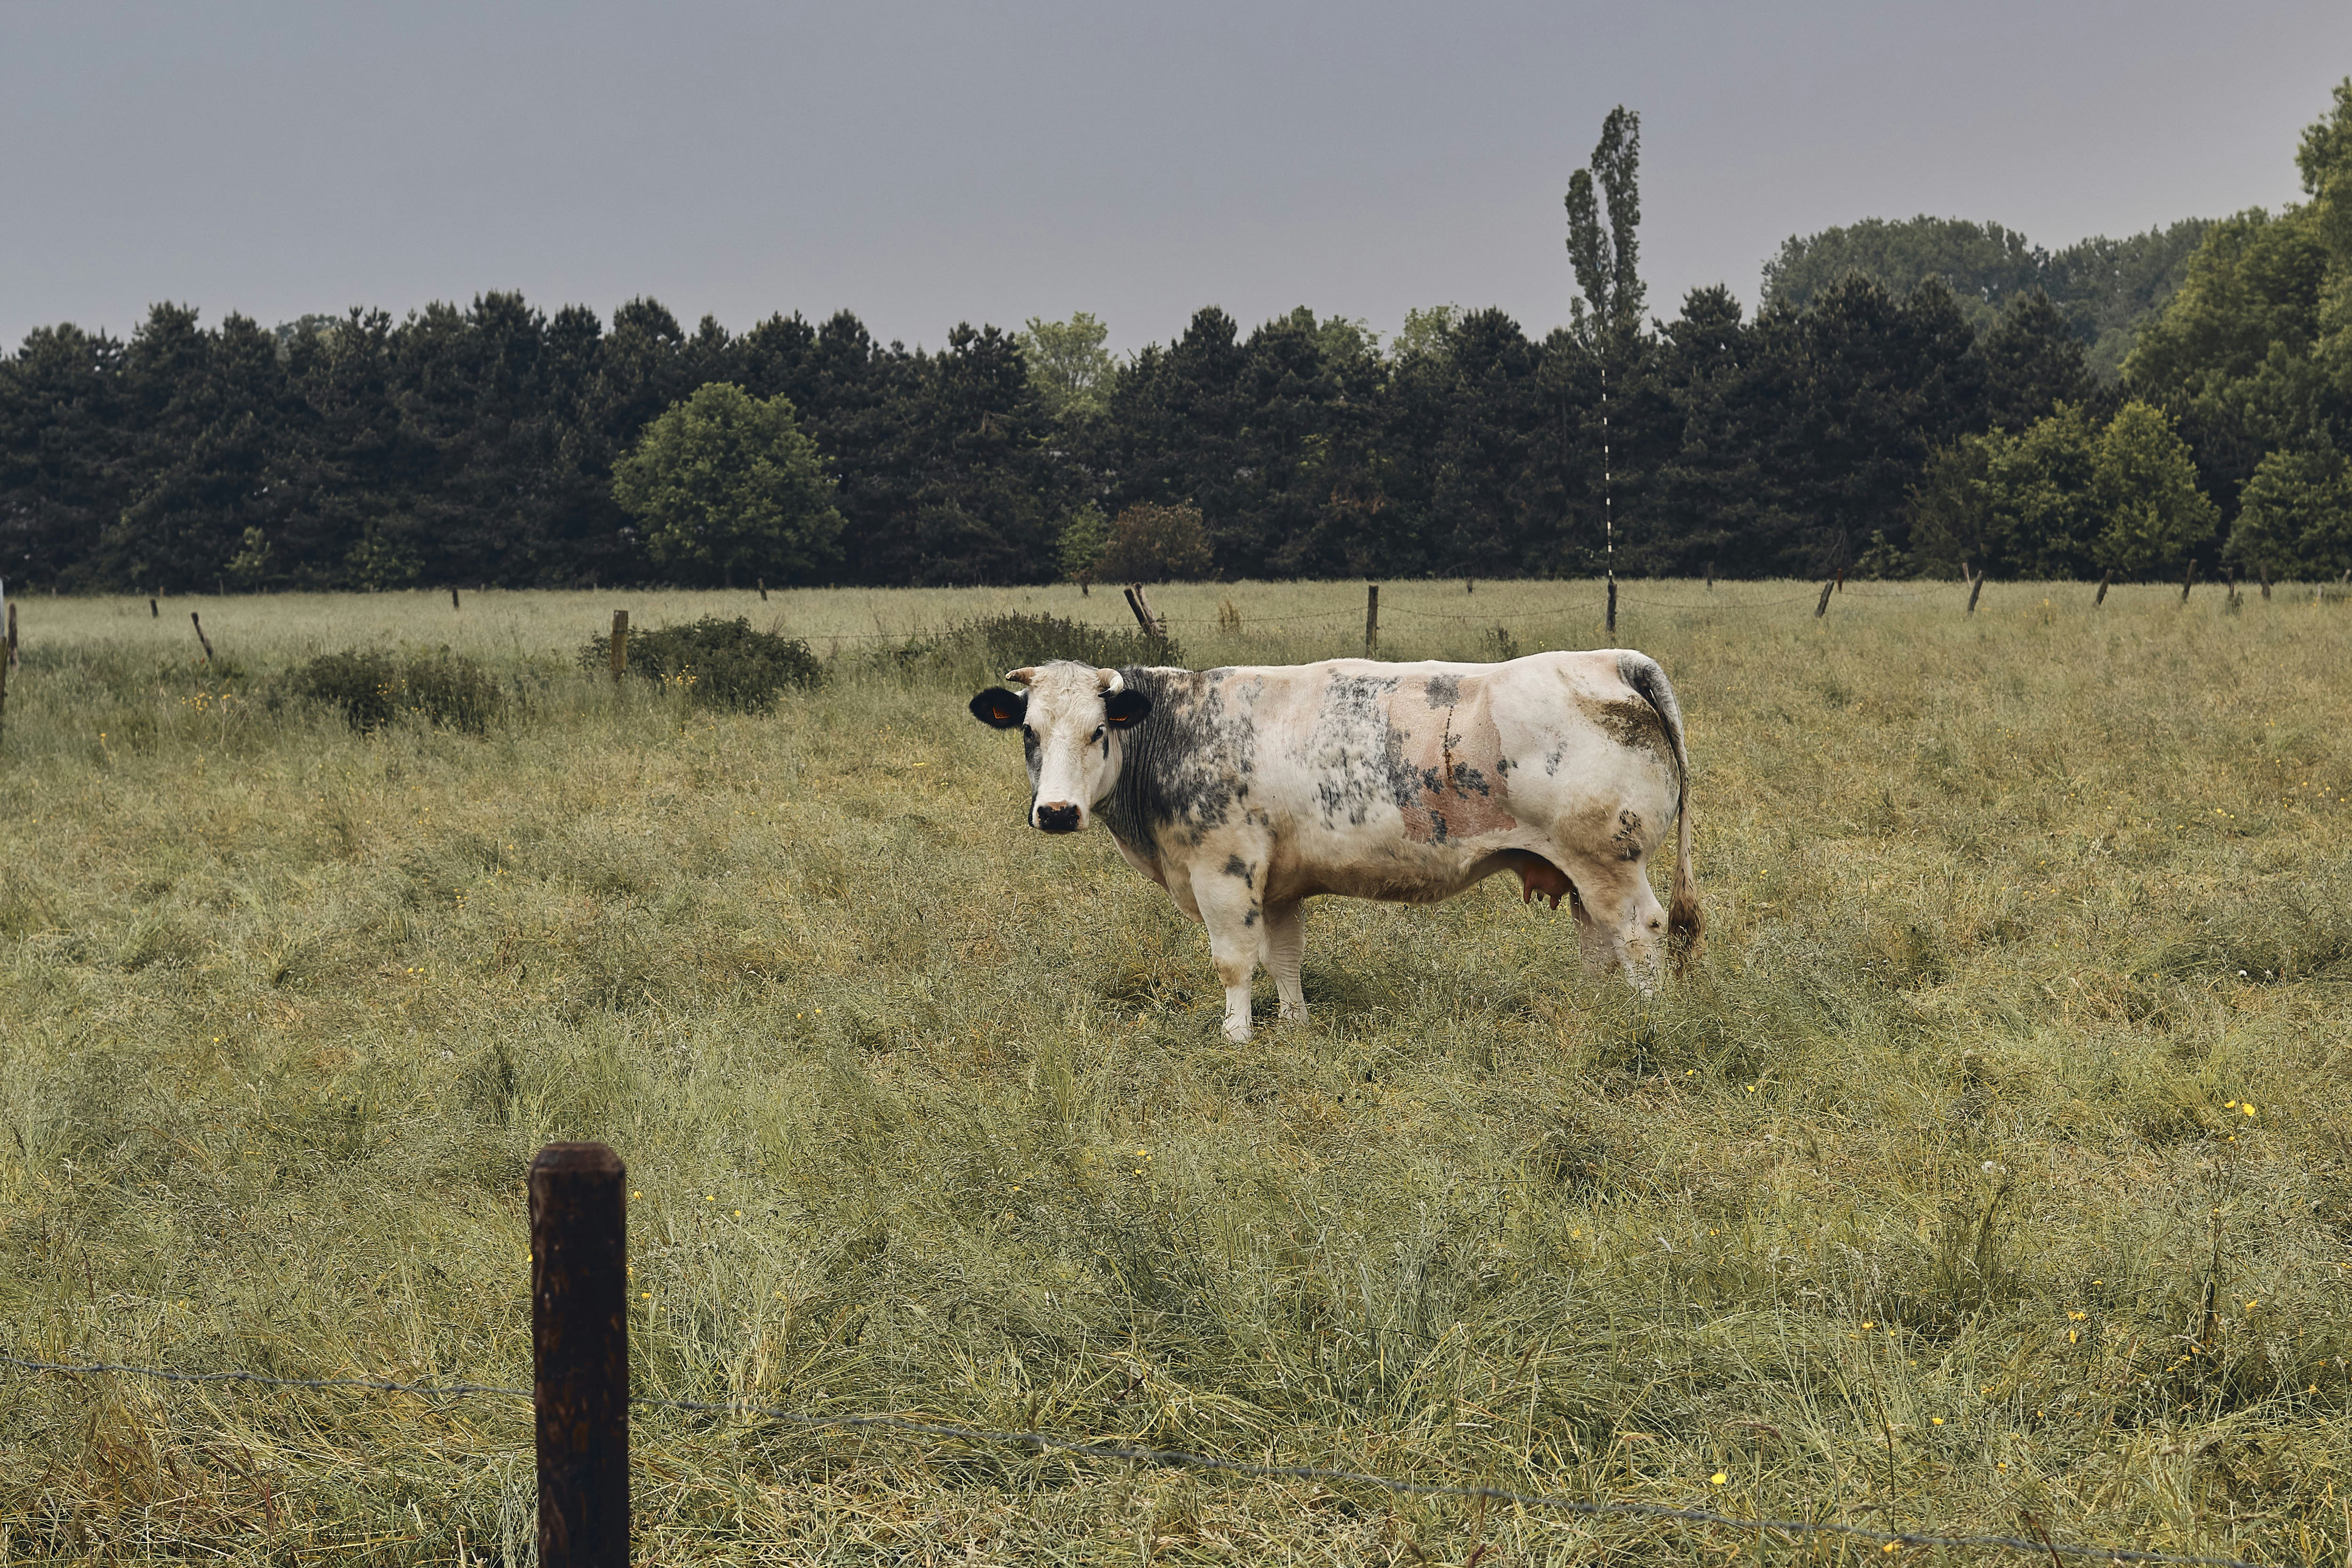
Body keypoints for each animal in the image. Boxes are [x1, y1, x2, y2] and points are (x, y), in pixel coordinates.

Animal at [968, 651, 1699, 1042]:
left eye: (1098, 731)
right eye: (1029, 732)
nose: (1056, 812)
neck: (1179, 731)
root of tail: (1610, 660)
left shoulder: (1223, 869)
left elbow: (1234, 961)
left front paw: (1236, 1036)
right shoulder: (1279, 885)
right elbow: (1284, 958)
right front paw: (1295, 1026)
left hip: (1610, 861)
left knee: (1639, 931)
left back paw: (1646, 1019)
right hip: (1580, 868)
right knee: (1599, 942)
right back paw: (1598, 1011)